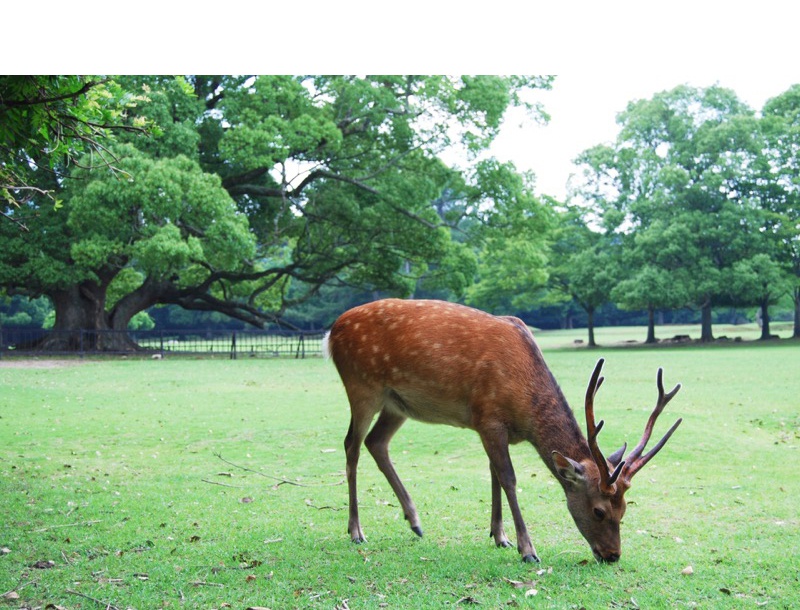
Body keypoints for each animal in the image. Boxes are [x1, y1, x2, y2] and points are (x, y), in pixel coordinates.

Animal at [322, 298, 684, 560]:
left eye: (624, 509)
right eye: (598, 511)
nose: (612, 555)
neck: (523, 409)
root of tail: (331, 331)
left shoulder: (493, 427)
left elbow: (494, 474)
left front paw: (500, 536)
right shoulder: (490, 418)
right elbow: (509, 478)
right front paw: (528, 549)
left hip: (397, 404)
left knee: (376, 442)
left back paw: (415, 520)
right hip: (362, 385)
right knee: (351, 444)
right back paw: (356, 531)